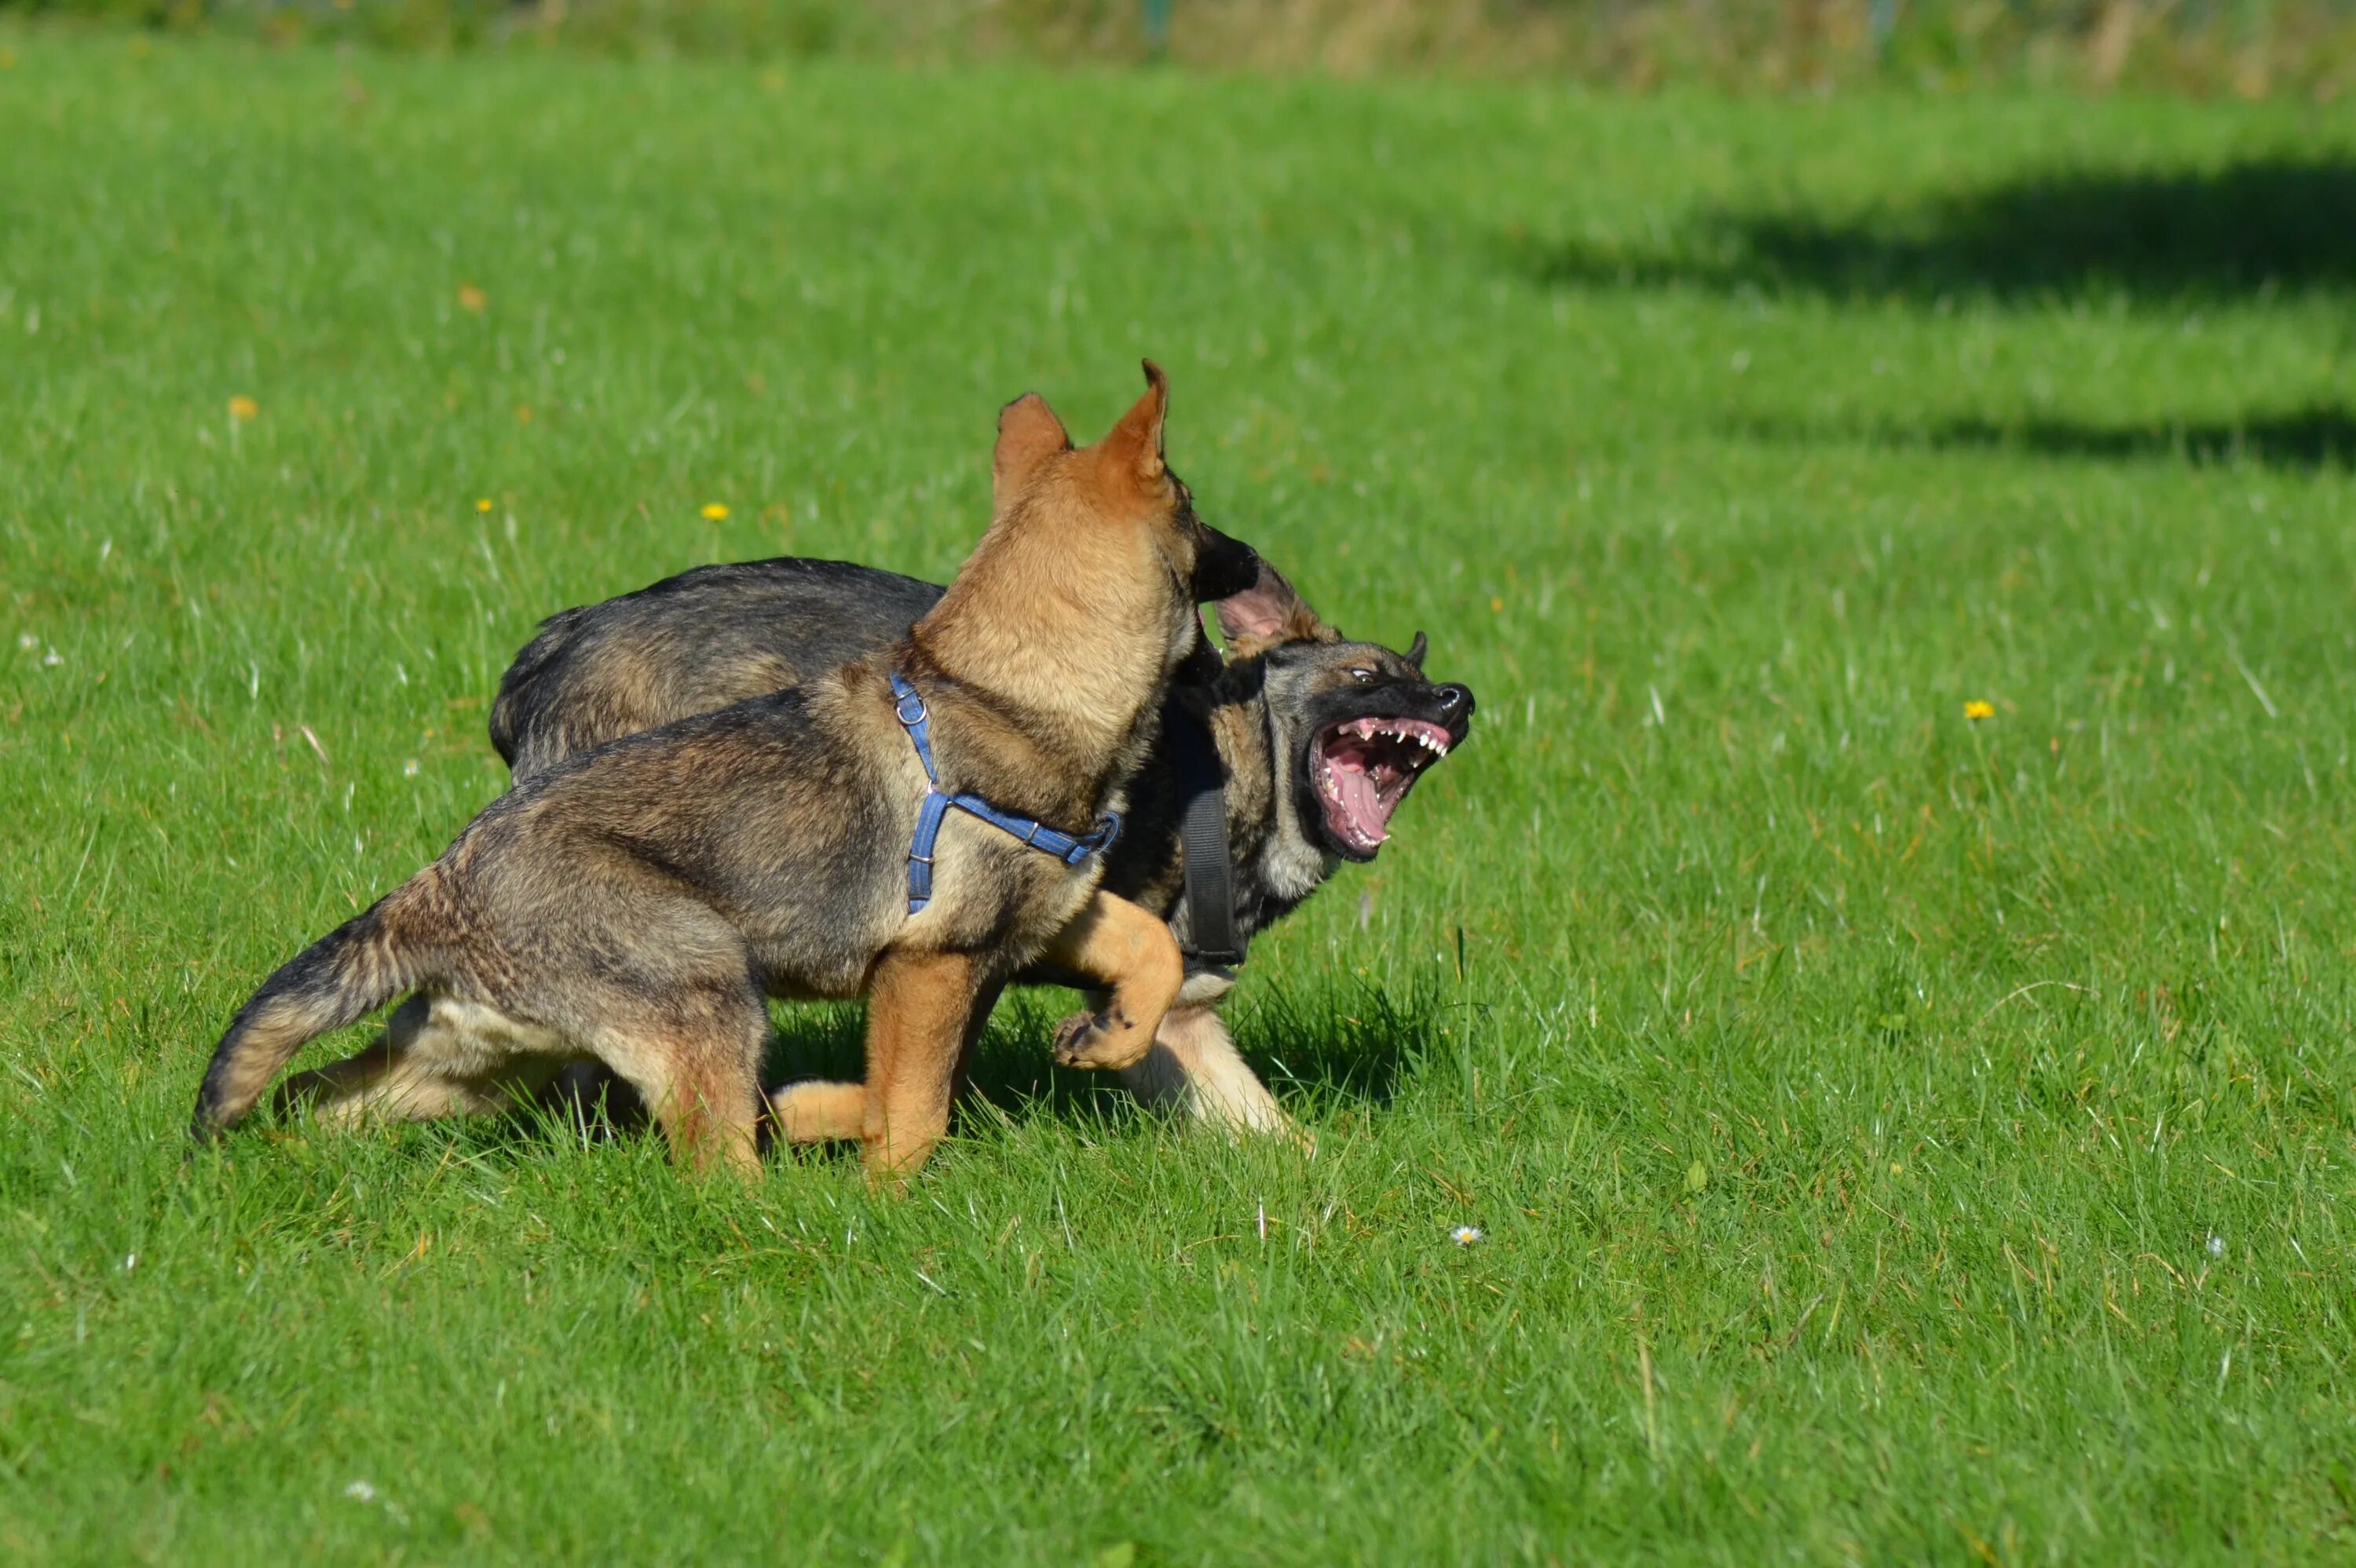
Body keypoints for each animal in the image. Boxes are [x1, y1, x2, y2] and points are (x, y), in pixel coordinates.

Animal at [193, 362, 1263, 1172]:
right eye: (1197, 512)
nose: (1257, 561)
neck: (1007, 688)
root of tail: (438, 885)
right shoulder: (930, 964)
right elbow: (915, 1113)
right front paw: (879, 1185)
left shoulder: (1046, 918)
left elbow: (1151, 950)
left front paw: (1109, 1035)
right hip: (708, 984)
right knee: (719, 1170)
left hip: (465, 1063)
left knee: (310, 1098)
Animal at [490, 548, 1470, 1135]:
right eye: (1365, 674)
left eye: (1421, 677)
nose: (1458, 697)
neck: (1228, 767)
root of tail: (557, 642)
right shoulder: (973, 951)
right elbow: (930, 1081)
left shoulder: (1177, 1018)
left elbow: (1271, 1129)